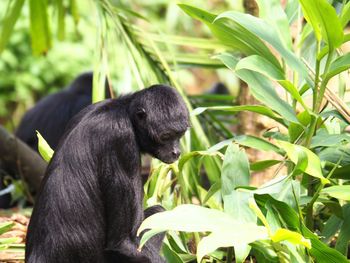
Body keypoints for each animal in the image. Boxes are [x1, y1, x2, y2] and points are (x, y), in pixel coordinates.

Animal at [25, 85, 190, 262]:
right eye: (166, 136)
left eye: (180, 134)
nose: (176, 152)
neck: (122, 109)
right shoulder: (122, 139)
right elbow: (124, 243)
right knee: (158, 212)